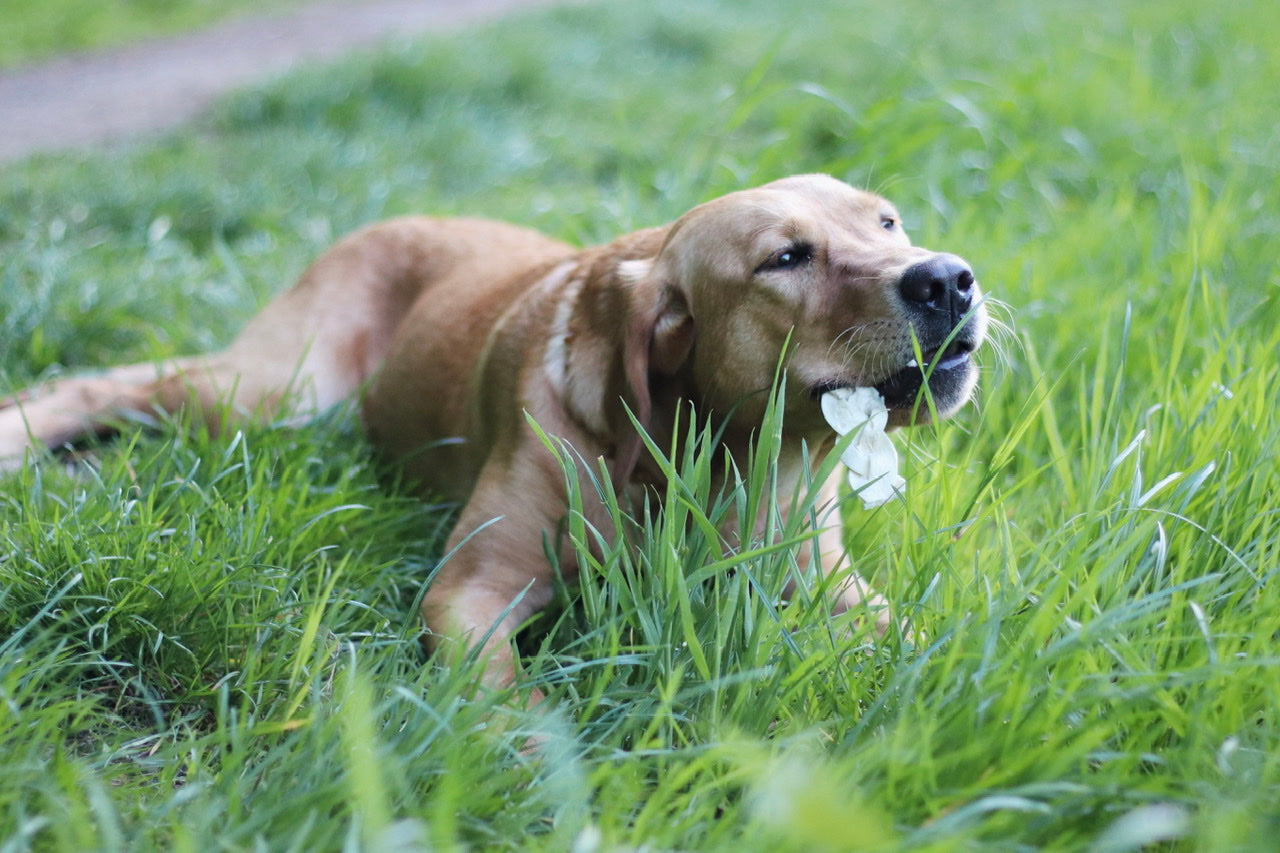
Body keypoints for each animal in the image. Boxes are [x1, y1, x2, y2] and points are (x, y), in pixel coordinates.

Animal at [0, 174, 988, 691]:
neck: (707, 460)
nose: (949, 278)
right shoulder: (470, 590)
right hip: (276, 392)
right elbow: (499, 695)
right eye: (785, 258)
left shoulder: (831, 585)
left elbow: (920, 637)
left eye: (889, 222)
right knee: (118, 381)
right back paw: (24, 434)